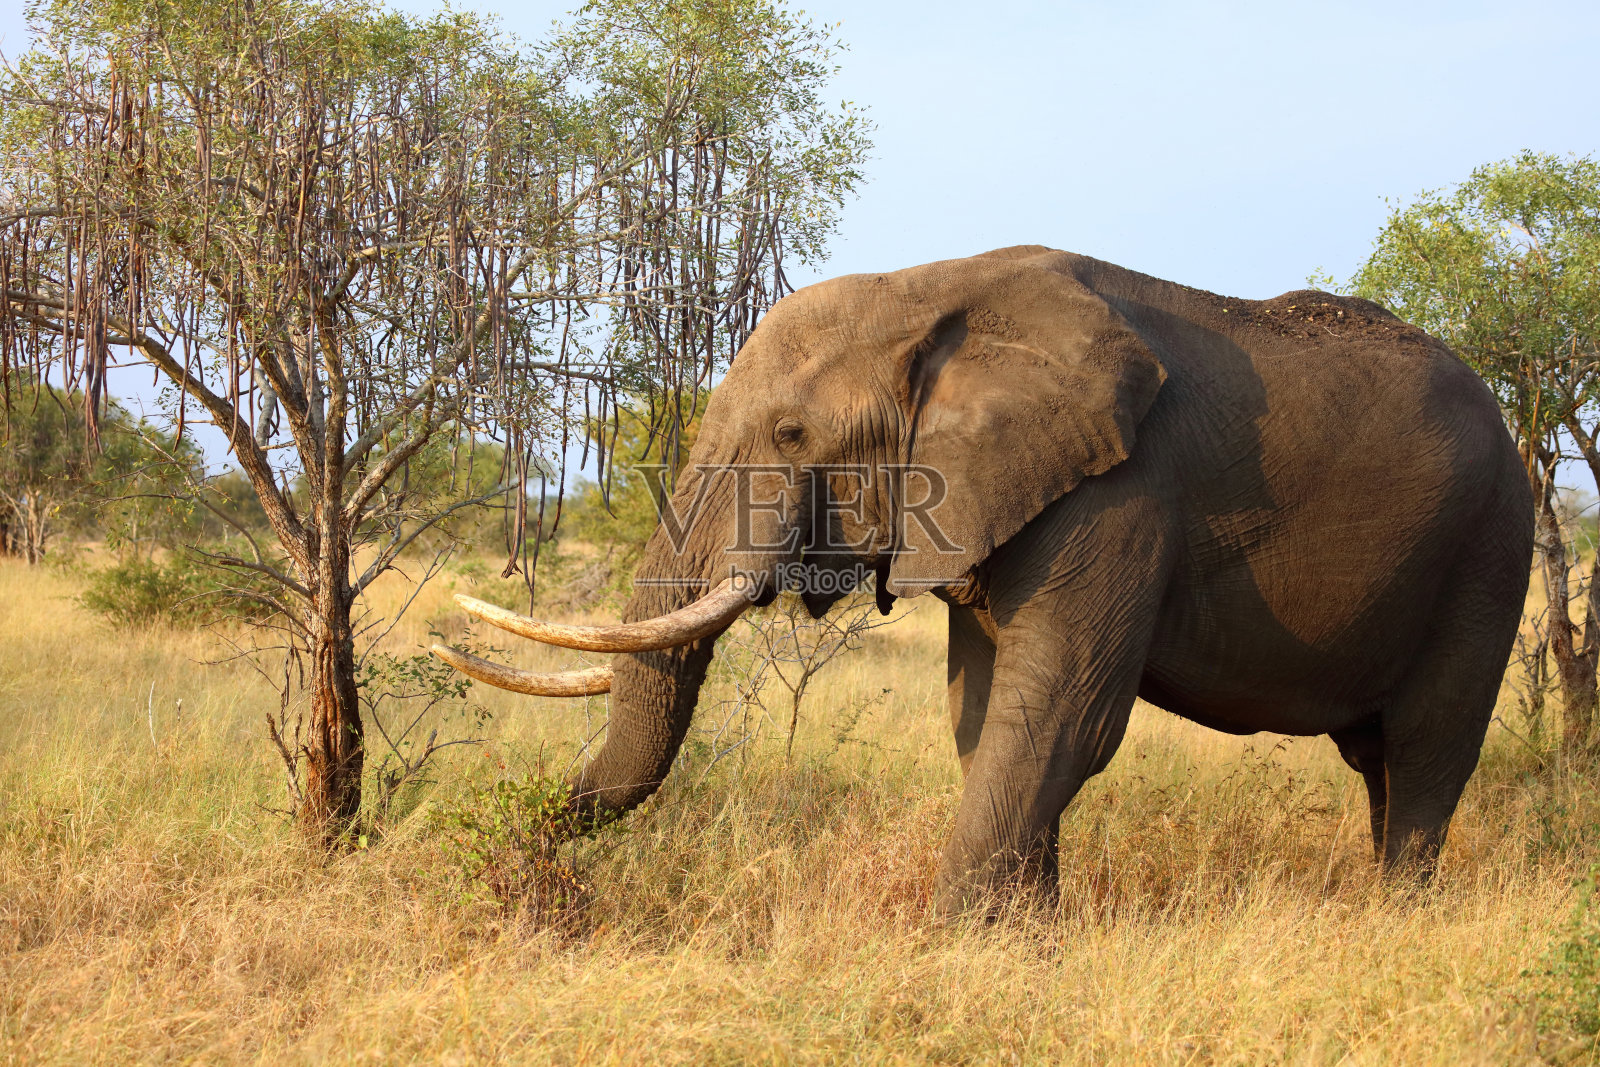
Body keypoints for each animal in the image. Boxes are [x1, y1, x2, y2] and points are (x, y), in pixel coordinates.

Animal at [435, 245, 1535, 916]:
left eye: (790, 435)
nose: (518, 868)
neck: (926, 289)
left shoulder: (1122, 494)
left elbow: (1060, 717)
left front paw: (962, 941)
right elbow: (982, 714)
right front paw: (1027, 936)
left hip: (1491, 548)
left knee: (1429, 747)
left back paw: (1396, 921)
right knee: (1380, 758)